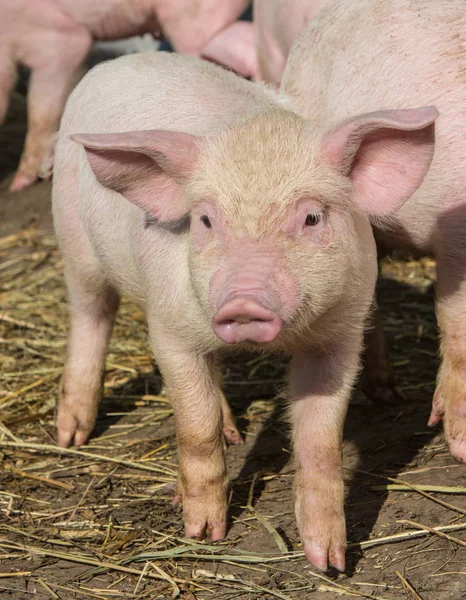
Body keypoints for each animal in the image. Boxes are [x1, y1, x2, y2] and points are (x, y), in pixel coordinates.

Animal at [52, 51, 436, 572]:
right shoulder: (170, 331)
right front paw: (203, 534)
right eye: (206, 219)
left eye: (312, 217)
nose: (243, 301)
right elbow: (195, 429)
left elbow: (320, 443)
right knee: (90, 317)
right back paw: (70, 437)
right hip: (73, 240)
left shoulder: (340, 336)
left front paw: (330, 563)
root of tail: (118, 60)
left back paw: (234, 433)